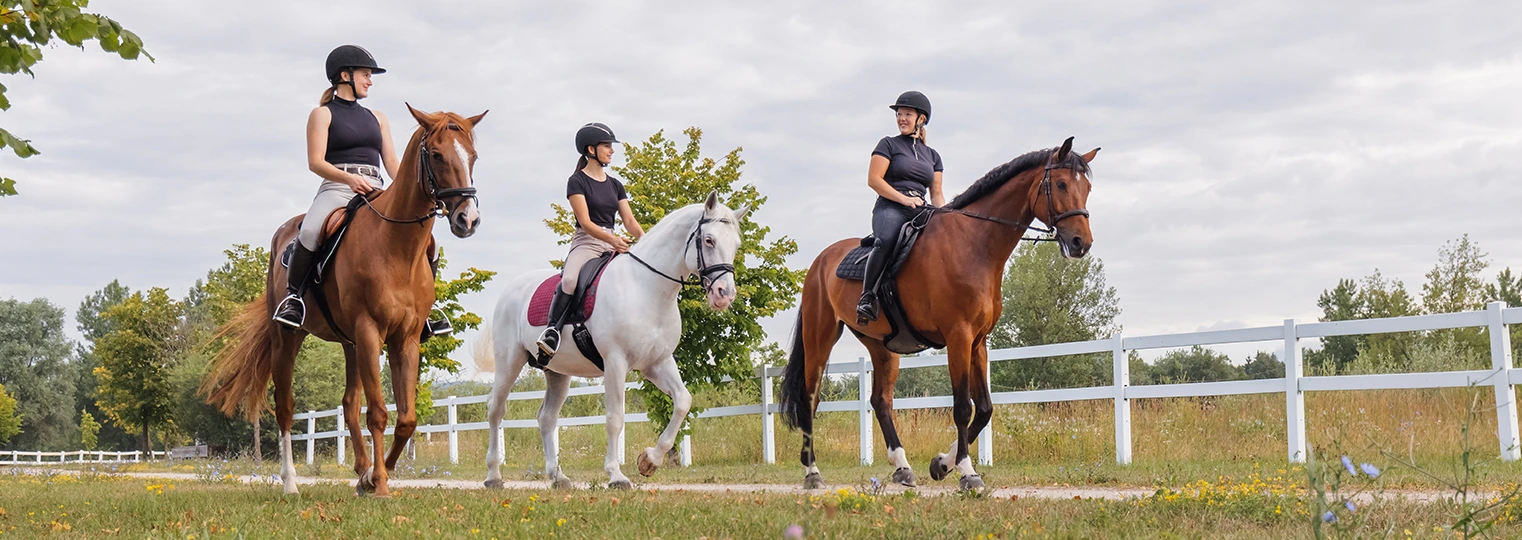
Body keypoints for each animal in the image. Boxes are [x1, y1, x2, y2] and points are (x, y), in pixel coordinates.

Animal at [200, 103, 487, 495]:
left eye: (473, 155)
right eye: (437, 155)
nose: (467, 219)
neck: (396, 247)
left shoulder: (406, 338)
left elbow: (406, 418)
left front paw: (375, 476)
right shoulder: (369, 330)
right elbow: (379, 412)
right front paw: (380, 484)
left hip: (350, 343)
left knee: (349, 404)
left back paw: (361, 472)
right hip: (289, 338)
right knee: (285, 406)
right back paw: (290, 483)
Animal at [480, 194, 748, 489]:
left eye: (736, 245)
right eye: (709, 240)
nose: (725, 294)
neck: (646, 287)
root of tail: (511, 289)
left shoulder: (658, 363)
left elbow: (682, 402)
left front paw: (649, 460)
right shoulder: (616, 362)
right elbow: (615, 418)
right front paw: (616, 475)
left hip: (557, 372)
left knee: (546, 418)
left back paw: (557, 476)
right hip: (509, 362)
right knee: (496, 409)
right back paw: (493, 475)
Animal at [785, 137, 1095, 492]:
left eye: (1087, 188)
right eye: (1061, 184)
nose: (1081, 243)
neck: (974, 244)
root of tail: (821, 260)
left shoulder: (978, 341)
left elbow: (984, 409)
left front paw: (941, 464)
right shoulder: (958, 336)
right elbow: (962, 407)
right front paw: (966, 472)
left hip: (881, 346)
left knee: (881, 401)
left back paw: (902, 467)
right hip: (820, 338)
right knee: (810, 400)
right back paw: (812, 473)